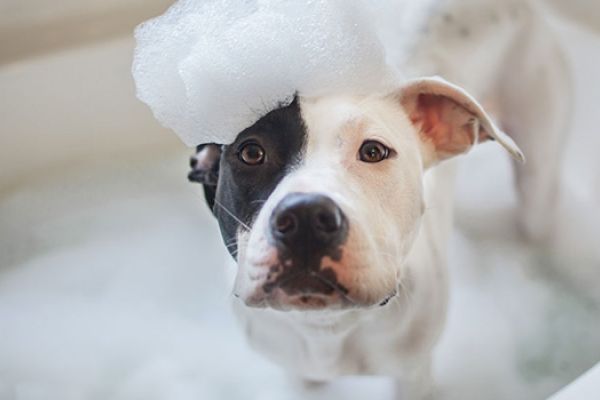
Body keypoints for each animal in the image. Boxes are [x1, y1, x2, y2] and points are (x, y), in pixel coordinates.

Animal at [185, 0, 568, 400]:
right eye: (251, 153)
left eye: (373, 151)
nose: (305, 217)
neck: (328, 329)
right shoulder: (297, 369)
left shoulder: (413, 373)